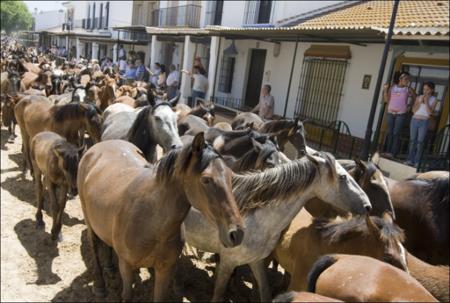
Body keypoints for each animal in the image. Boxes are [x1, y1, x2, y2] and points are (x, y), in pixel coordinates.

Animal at [78, 134, 246, 302]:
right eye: (206, 179)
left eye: (230, 176)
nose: (237, 234)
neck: (152, 223)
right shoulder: (125, 266)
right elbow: (127, 295)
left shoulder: (165, 270)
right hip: (89, 222)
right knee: (94, 247)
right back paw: (100, 285)